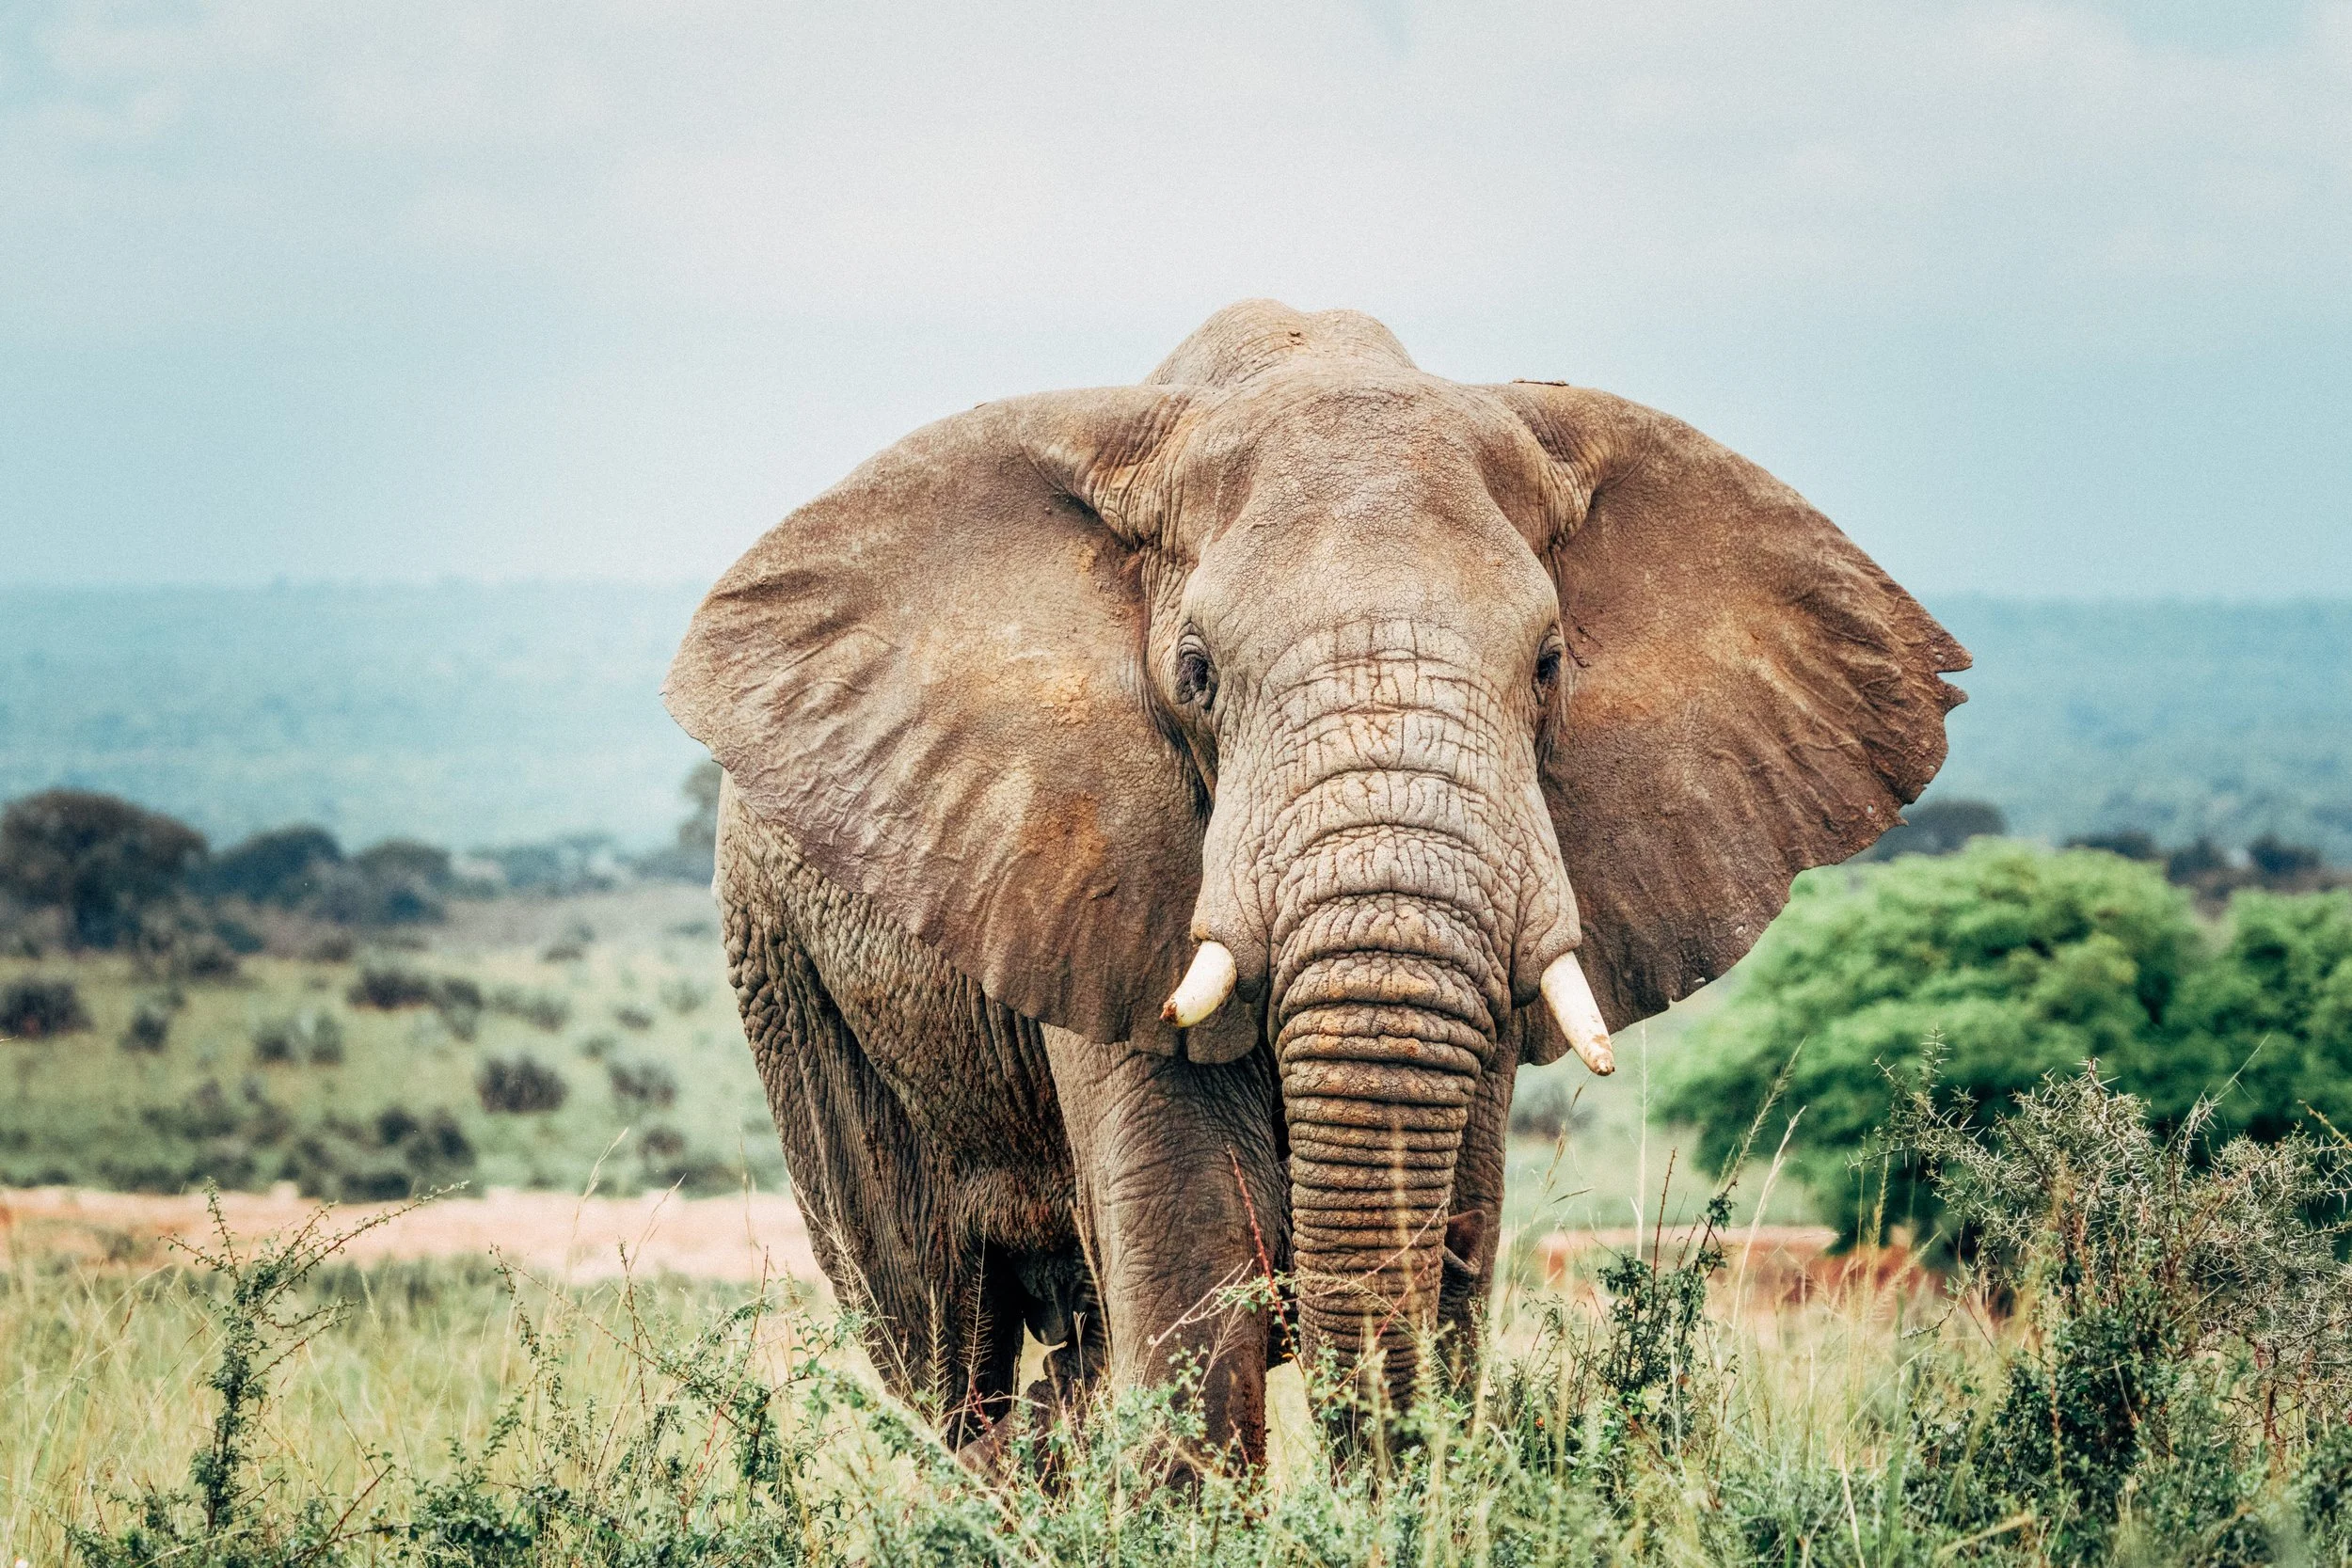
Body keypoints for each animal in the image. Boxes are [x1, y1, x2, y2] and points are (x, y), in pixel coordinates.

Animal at [664, 299, 1967, 1466]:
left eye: (1549, 664)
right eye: (1195, 671)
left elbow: (1451, 1263)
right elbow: (1192, 1280)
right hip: (786, 974)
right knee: (940, 1335)